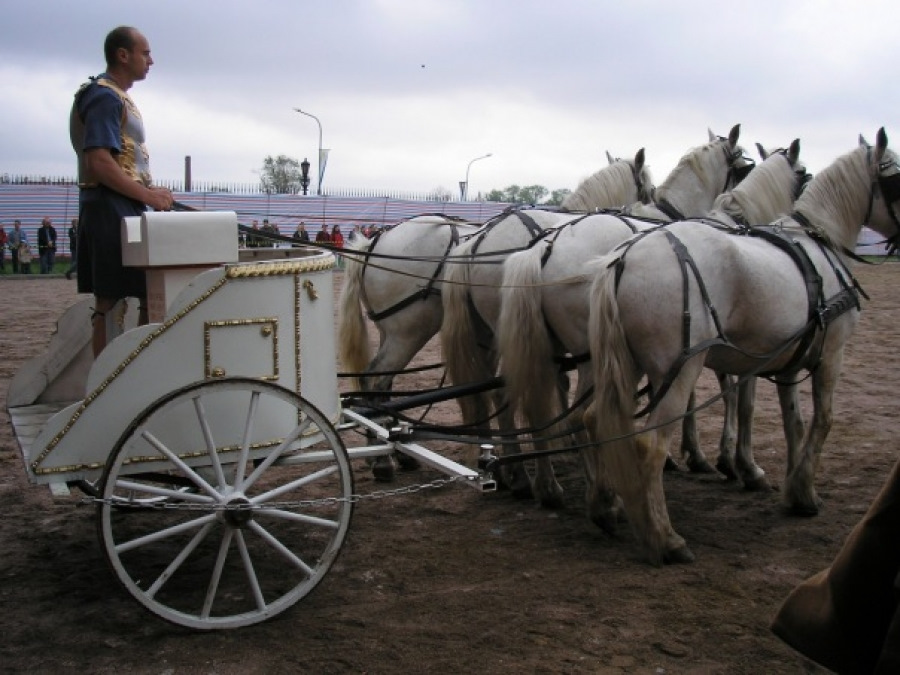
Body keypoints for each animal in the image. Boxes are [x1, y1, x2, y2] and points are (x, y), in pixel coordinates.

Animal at [584, 129, 900, 568]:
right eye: (898, 177)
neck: (819, 242)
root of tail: (624, 258)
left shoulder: (785, 360)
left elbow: (792, 422)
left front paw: (793, 487)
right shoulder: (829, 355)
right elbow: (820, 419)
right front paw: (783, 483)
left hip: (626, 366)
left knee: (597, 421)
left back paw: (605, 507)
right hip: (678, 369)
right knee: (649, 443)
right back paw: (664, 538)